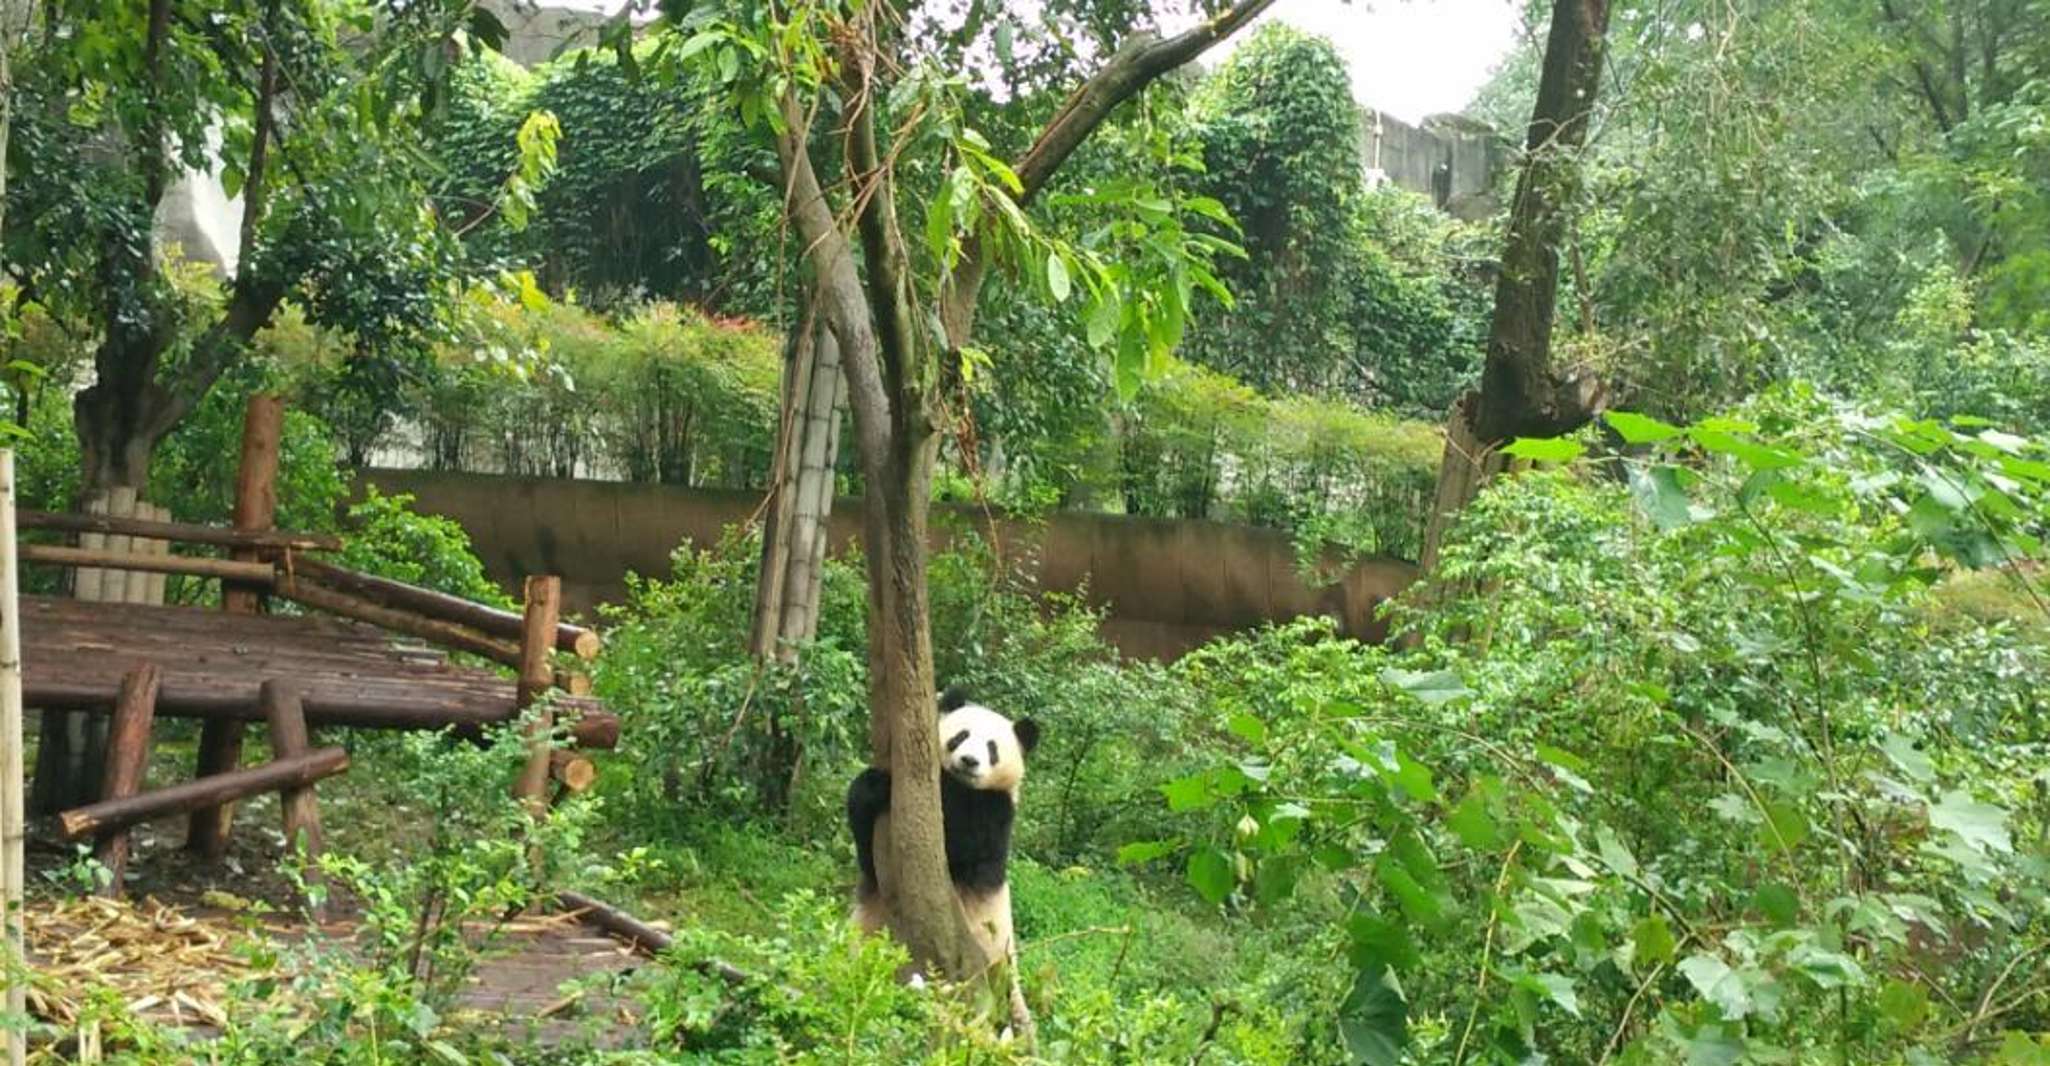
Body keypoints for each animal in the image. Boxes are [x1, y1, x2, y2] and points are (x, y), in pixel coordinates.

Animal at [846, 685, 1041, 967]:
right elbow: (867, 854)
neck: (963, 784)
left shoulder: (995, 811)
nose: (969, 761)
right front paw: (875, 786)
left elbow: (960, 844)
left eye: (991, 748)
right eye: (961, 736)